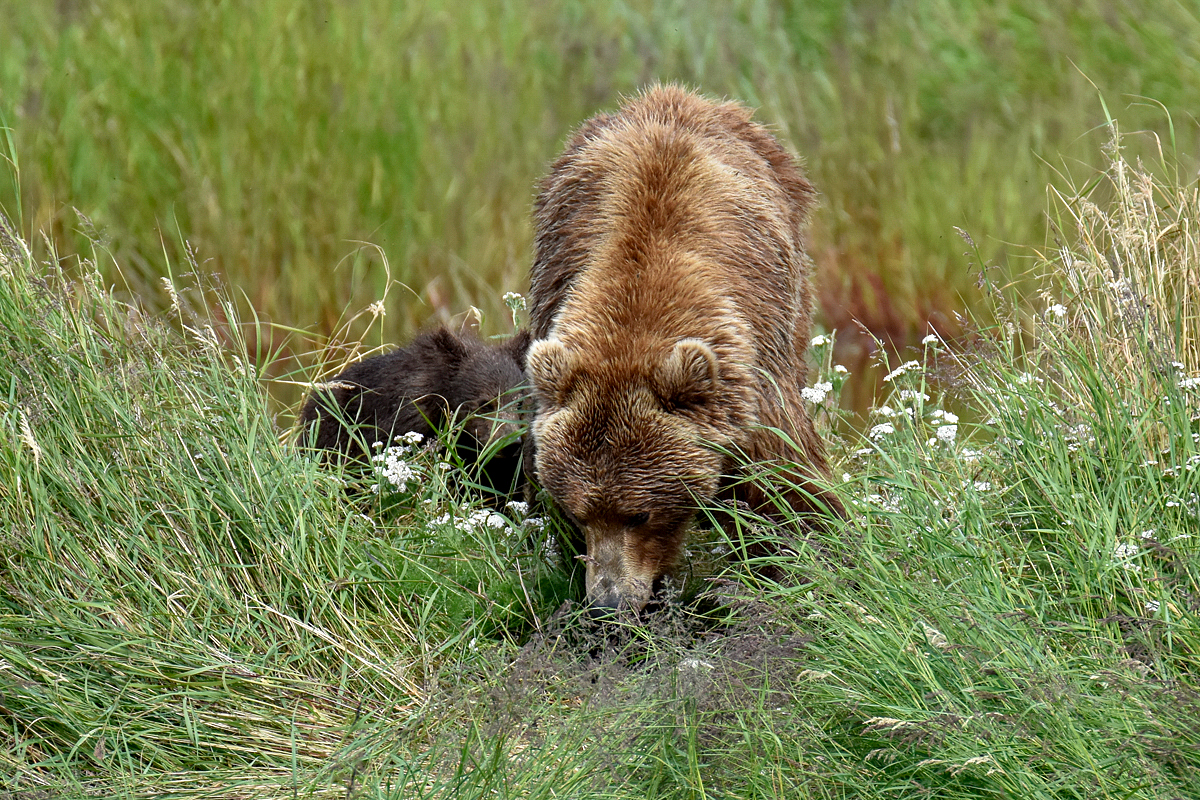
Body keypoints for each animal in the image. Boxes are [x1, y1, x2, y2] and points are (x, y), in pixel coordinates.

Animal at [525, 84, 844, 614]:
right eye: (580, 512)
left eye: (639, 513)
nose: (609, 602)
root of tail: (677, 94)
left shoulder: (757, 365)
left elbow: (786, 475)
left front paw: (804, 553)